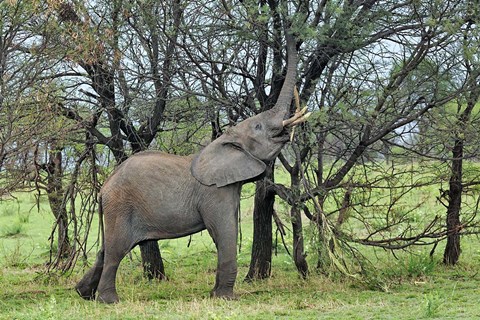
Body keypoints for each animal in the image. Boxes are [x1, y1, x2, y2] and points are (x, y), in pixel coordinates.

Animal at [76, 31, 308, 304]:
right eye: (258, 127)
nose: (293, 33)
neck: (224, 140)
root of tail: (104, 188)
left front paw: (216, 294)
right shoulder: (215, 192)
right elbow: (225, 232)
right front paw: (224, 298)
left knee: (105, 250)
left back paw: (82, 294)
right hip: (121, 206)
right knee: (116, 251)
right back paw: (109, 301)